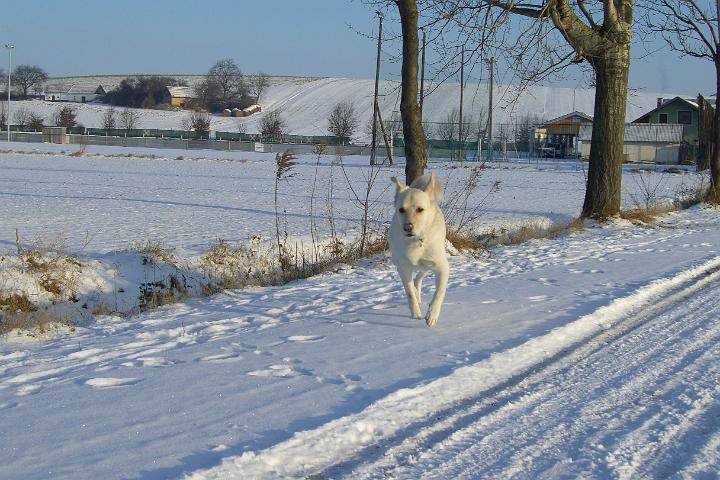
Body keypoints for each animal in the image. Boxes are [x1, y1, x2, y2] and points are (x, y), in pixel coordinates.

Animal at [390, 172, 448, 326]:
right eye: (401, 209)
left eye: (420, 209)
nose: (407, 227)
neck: (415, 241)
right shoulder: (403, 268)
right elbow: (409, 293)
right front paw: (416, 315)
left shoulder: (442, 267)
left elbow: (439, 292)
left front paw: (432, 315)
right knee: (415, 282)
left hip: (426, 266)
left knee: (419, 278)